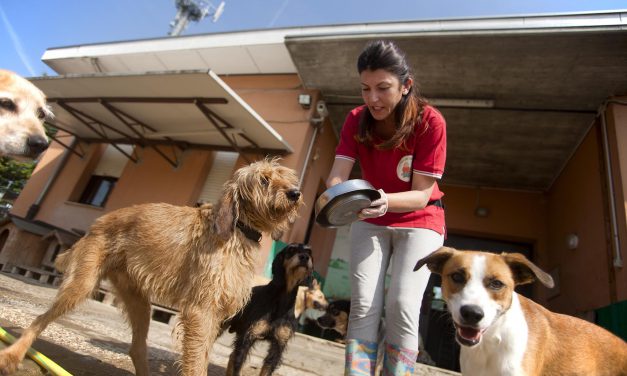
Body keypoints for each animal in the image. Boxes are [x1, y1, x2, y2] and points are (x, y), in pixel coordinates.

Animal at [0, 159, 304, 376]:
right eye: (264, 180)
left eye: (284, 176)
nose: (295, 193)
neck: (238, 230)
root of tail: (96, 224)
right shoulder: (200, 313)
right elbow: (197, 364)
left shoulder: (216, 316)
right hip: (80, 285)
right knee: (39, 319)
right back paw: (12, 356)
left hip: (140, 304)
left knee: (136, 349)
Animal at [224, 242, 314, 374]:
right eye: (291, 250)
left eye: (309, 252)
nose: (304, 257)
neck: (281, 301)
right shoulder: (247, 339)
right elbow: (237, 365)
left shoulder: (278, 346)